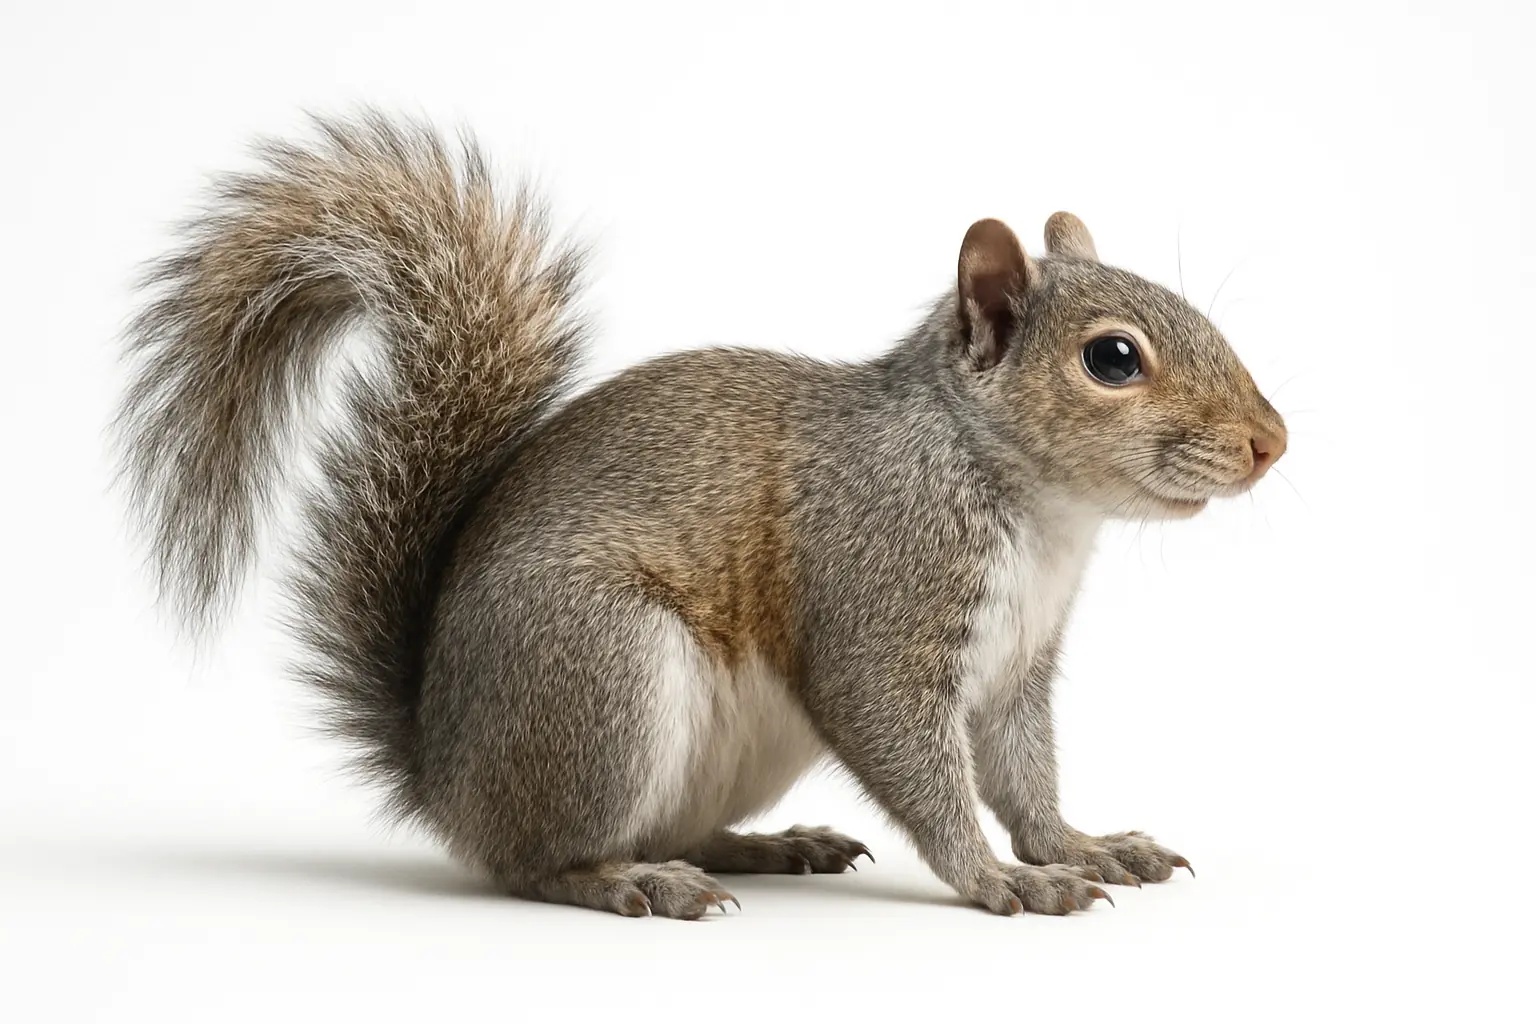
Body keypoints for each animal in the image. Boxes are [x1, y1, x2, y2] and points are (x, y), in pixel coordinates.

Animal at [116, 111, 1287, 920]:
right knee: (533, 860)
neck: (1039, 513)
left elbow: (1026, 776)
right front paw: (997, 879)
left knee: (670, 823)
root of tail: (443, 773)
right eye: (1113, 358)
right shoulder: (880, 596)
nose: (1272, 442)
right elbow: (917, 760)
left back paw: (765, 847)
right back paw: (632, 881)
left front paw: (1081, 846)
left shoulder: (1015, 668)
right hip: (603, 671)